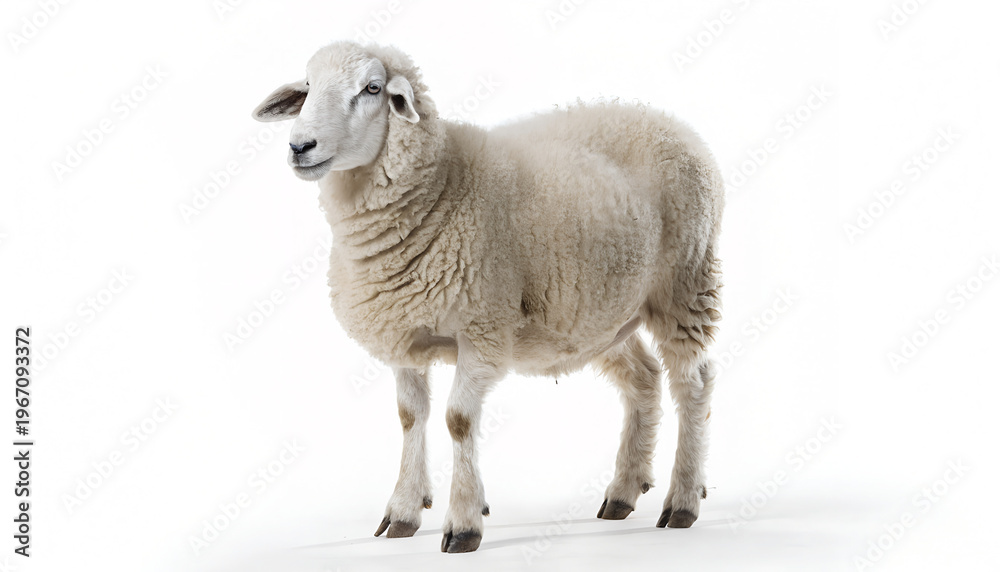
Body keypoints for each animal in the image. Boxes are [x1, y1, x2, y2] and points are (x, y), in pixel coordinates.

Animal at [252, 41, 725, 553]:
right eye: (308, 87)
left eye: (372, 88)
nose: (300, 146)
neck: (442, 184)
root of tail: (671, 122)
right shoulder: (404, 335)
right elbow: (409, 417)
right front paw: (404, 511)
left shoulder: (483, 330)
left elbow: (458, 419)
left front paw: (463, 523)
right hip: (602, 311)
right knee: (644, 378)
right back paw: (623, 492)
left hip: (685, 286)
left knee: (693, 383)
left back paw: (682, 501)